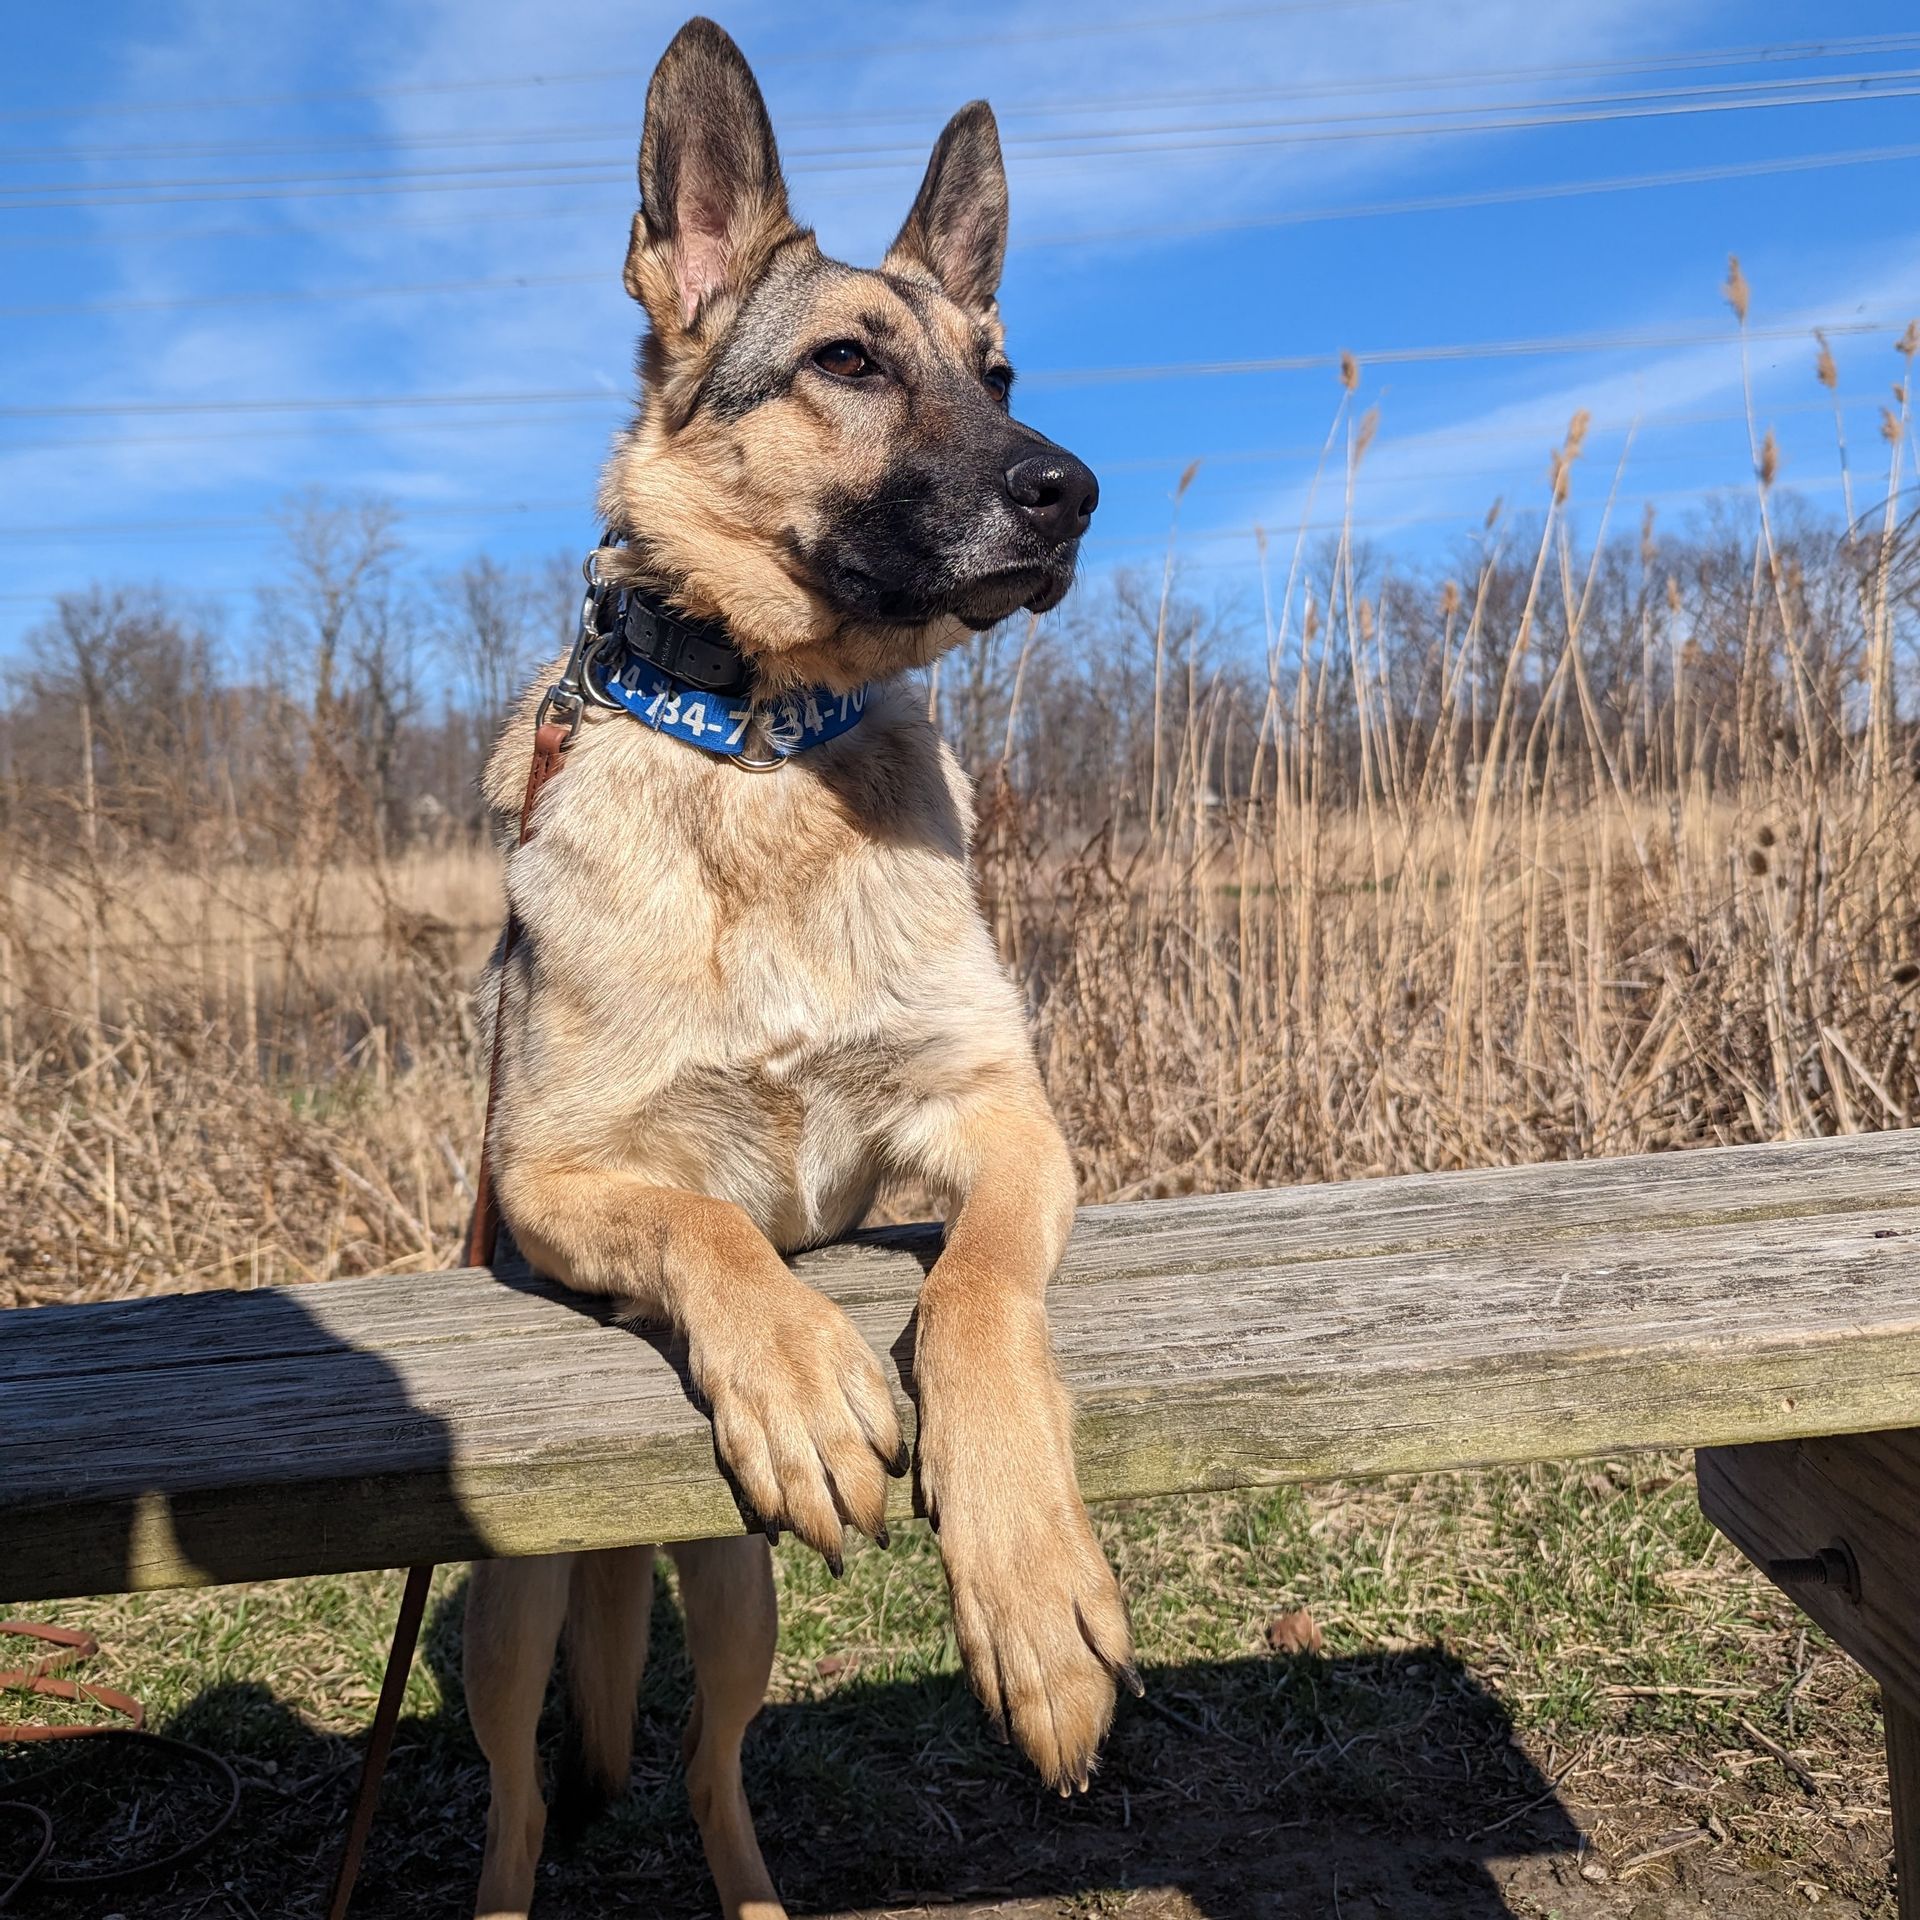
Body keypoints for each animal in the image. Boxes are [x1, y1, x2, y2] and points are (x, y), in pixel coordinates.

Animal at [462, 18, 1121, 1920]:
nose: (1071, 490)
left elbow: (974, 1294)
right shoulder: (548, 1177)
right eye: (845, 362)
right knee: (518, 1801)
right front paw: (802, 1365)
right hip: (507, 1614)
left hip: (742, 1600)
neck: (760, 747)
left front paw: (1033, 1591)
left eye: (998, 367)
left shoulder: (1004, 1121)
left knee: (712, 1775)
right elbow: (704, 1221)